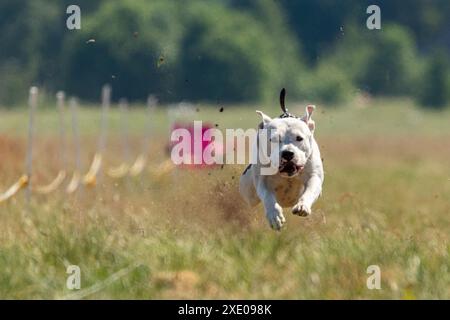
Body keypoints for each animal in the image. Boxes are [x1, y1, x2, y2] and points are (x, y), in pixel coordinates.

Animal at [239, 89, 324, 230]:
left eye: (299, 138)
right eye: (273, 139)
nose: (288, 153)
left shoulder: (314, 176)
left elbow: (310, 190)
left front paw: (303, 205)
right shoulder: (262, 182)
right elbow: (268, 197)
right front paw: (274, 215)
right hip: (248, 192)